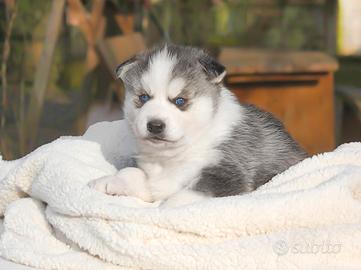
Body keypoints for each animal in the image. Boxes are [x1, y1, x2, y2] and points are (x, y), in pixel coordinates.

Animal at [88, 44, 306, 207]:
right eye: (143, 97)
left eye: (180, 101)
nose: (155, 125)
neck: (173, 156)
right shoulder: (153, 180)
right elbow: (133, 172)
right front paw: (111, 180)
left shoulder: (228, 175)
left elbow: (187, 194)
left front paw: (166, 209)